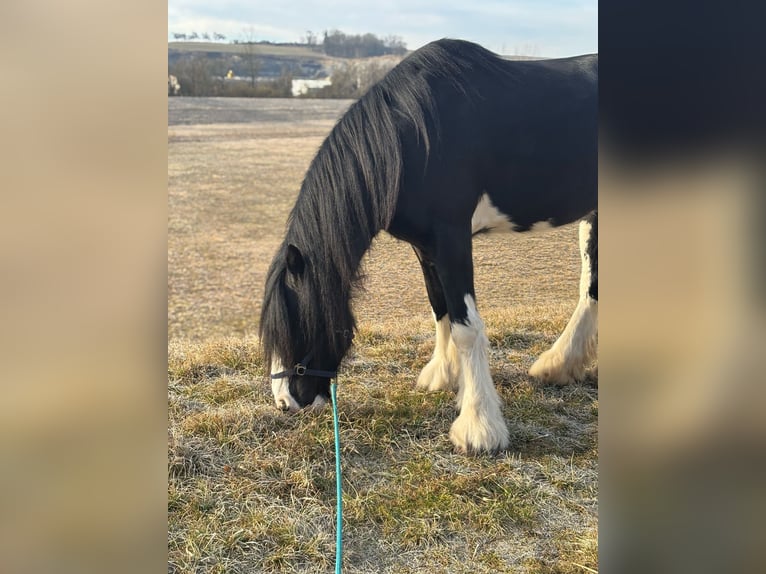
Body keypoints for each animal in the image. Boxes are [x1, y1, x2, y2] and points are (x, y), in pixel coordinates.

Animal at [260, 39, 597, 454]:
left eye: (298, 322)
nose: (285, 402)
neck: (412, 140)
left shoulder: (453, 240)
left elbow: (467, 327)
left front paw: (478, 427)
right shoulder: (426, 248)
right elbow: (441, 311)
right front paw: (445, 377)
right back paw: (559, 365)